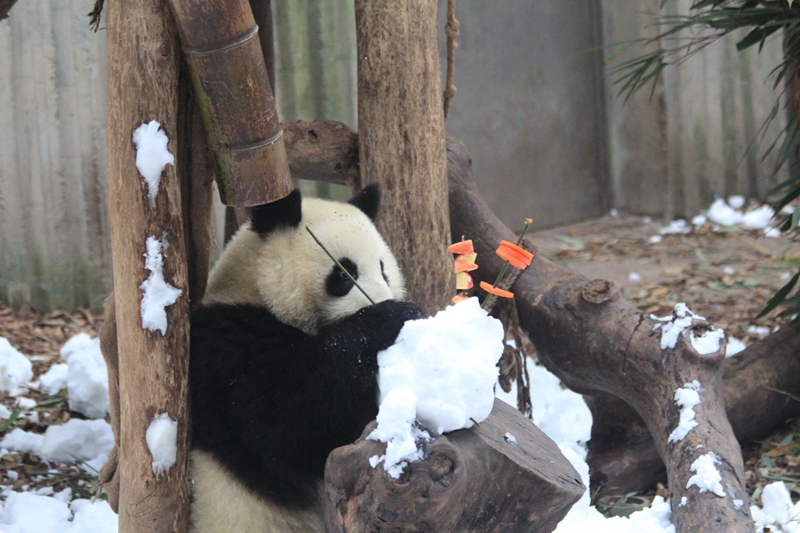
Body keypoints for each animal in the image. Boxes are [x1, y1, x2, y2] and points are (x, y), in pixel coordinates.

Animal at [188, 184, 424, 532]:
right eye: (344, 273)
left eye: (383, 269)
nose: (380, 299)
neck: (255, 292)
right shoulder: (227, 350)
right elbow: (293, 422)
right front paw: (390, 318)